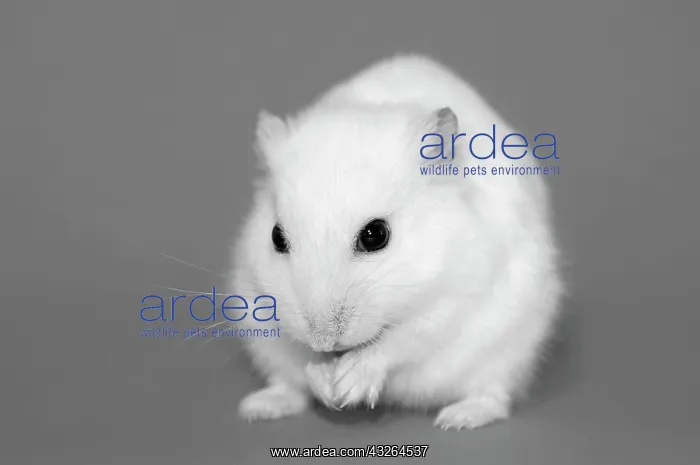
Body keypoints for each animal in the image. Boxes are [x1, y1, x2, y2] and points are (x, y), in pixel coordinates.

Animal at [229, 54, 563, 430]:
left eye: (376, 234)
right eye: (276, 237)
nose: (324, 340)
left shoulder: (451, 298)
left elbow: (402, 340)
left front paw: (349, 384)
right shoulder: (258, 301)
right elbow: (303, 357)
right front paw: (327, 383)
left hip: (504, 356)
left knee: (492, 395)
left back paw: (457, 418)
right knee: (288, 386)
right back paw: (258, 407)